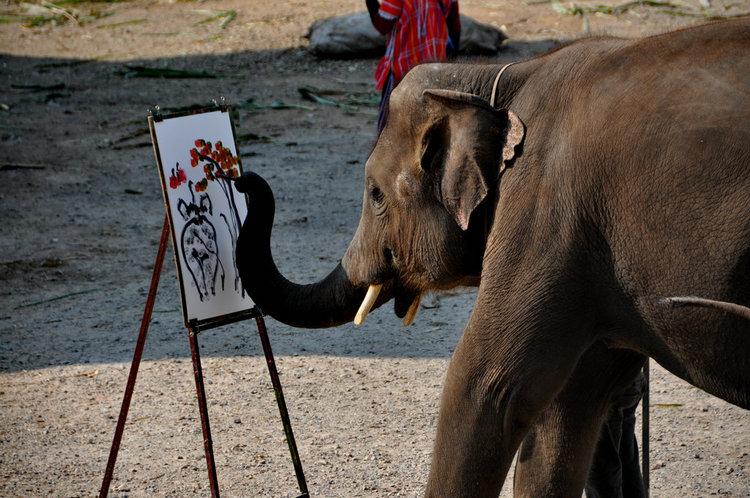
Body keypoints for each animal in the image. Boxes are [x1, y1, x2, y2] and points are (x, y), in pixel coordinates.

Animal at [236, 17, 750, 496]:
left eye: (375, 194)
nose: (242, 179)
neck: (498, 81)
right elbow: (569, 407)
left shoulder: (545, 213)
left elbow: (486, 388)